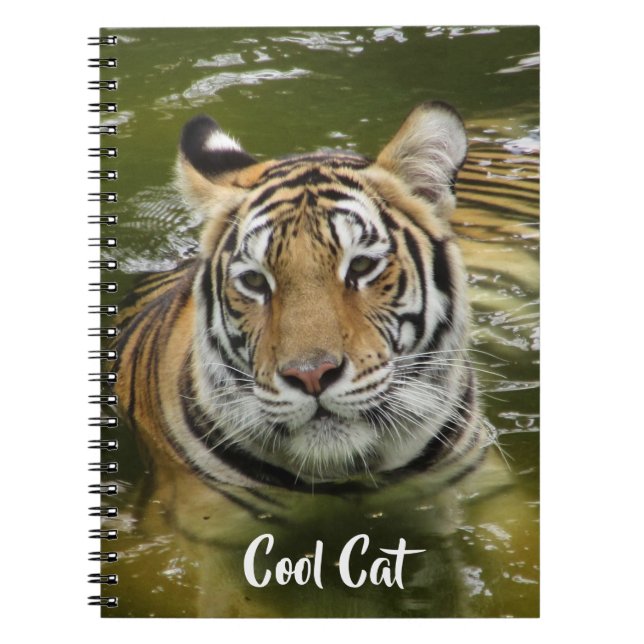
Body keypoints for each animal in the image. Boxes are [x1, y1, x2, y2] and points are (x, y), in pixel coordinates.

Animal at [110, 101, 526, 616]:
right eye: (255, 281)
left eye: (361, 267)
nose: (311, 375)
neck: (345, 480)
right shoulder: (201, 532)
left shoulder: (488, 488)